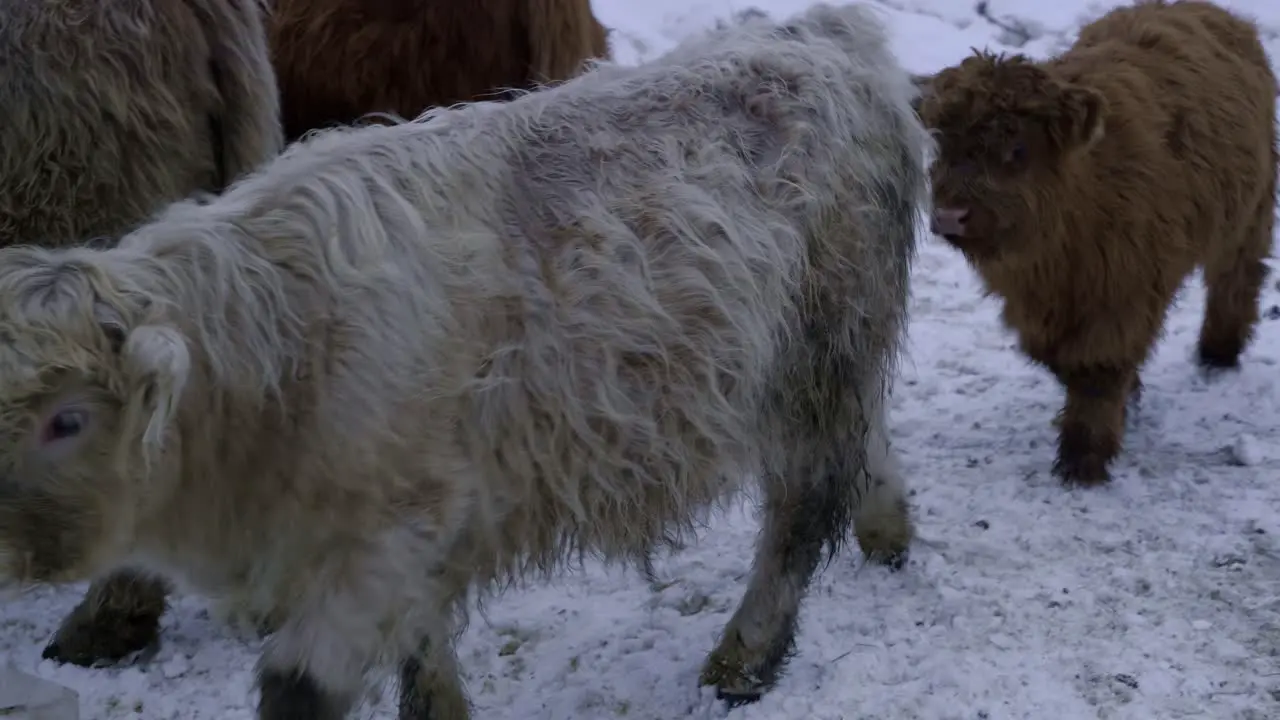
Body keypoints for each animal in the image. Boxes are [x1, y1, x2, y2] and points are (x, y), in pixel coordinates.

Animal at [916, 0, 1274, 484]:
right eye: (941, 146)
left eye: (1018, 151)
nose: (950, 216)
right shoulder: (1036, 304)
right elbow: (1060, 359)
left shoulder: (1125, 287)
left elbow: (1097, 369)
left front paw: (1083, 458)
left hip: (1250, 214)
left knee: (1237, 278)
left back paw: (1219, 352)